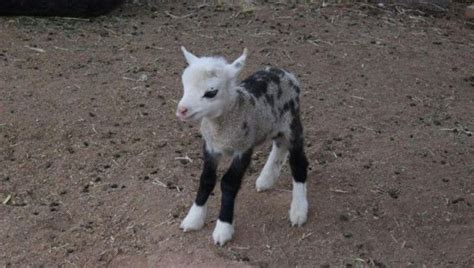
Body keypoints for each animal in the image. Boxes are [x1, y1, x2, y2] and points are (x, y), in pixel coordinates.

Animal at [176, 46, 310, 245]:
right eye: (185, 84)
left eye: (211, 92)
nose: (182, 110)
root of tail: (284, 72)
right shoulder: (210, 147)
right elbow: (206, 179)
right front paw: (194, 218)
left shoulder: (243, 147)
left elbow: (229, 183)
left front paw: (223, 228)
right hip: (271, 124)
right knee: (279, 145)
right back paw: (266, 178)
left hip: (292, 121)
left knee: (298, 162)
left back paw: (299, 210)